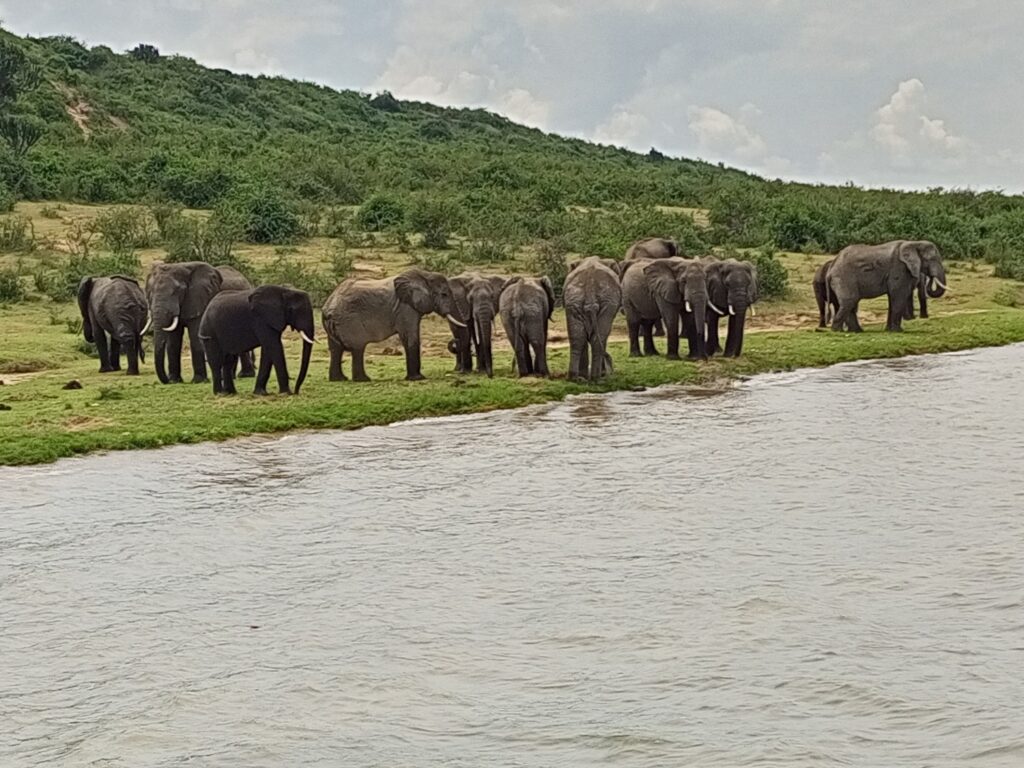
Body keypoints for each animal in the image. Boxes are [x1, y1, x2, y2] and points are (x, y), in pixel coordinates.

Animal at [321, 268, 466, 382]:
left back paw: (339, 379)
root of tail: (329, 307)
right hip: (350, 322)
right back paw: (363, 380)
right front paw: (418, 378)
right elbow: (410, 337)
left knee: (335, 349)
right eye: (444, 294)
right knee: (358, 348)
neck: (425, 275)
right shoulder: (405, 308)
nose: (454, 342)